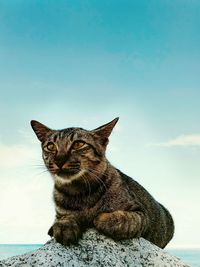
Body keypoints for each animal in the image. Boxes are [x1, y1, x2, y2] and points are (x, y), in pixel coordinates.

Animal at [30, 118, 173, 248]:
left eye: (78, 144)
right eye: (50, 146)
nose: (59, 160)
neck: (79, 192)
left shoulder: (141, 214)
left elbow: (125, 219)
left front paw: (101, 219)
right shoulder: (60, 213)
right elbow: (63, 218)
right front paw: (65, 224)